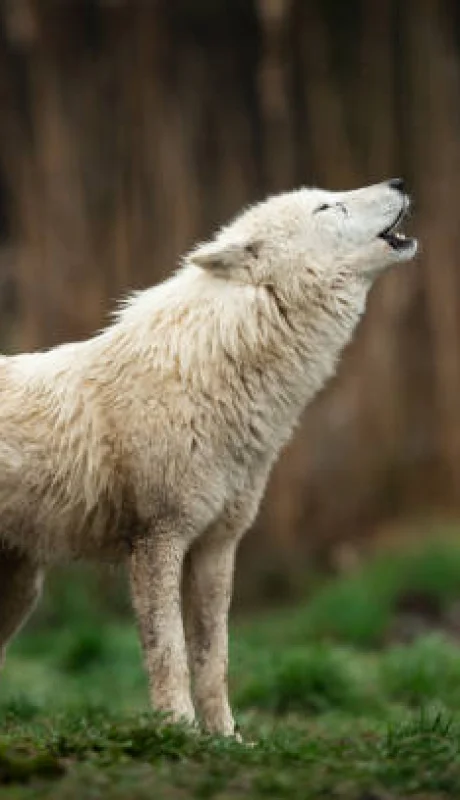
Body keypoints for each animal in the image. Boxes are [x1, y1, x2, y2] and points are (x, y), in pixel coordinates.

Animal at [0, 179, 417, 735]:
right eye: (328, 205)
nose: (398, 183)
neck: (212, 372)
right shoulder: (158, 539)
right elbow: (169, 653)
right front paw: (175, 731)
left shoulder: (218, 546)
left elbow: (213, 658)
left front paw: (225, 738)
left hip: (21, 591)